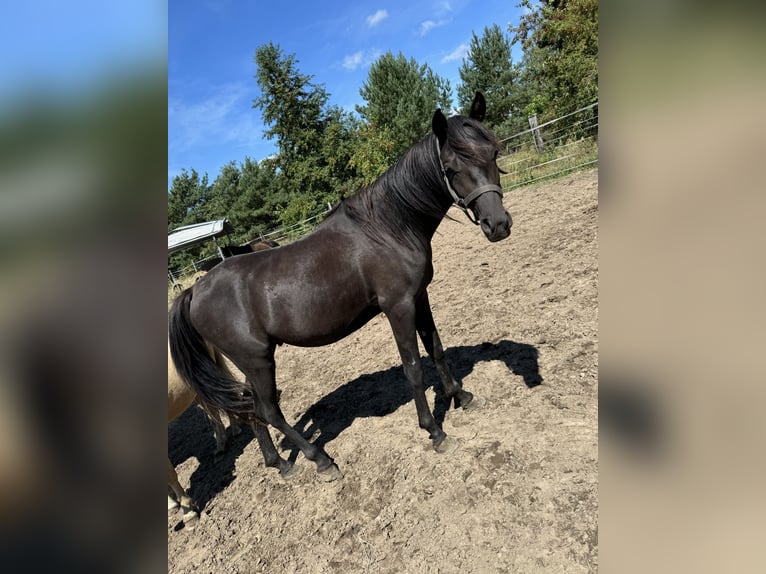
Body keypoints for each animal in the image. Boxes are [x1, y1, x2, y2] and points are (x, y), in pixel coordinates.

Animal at [171, 93, 512, 482]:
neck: (387, 228)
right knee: (268, 410)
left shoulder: (419, 297)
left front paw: (461, 396)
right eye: (453, 166)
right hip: (258, 360)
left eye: (492, 153)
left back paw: (281, 464)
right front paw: (435, 431)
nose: (498, 225)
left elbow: (437, 349)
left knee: (250, 408)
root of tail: (194, 291)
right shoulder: (398, 306)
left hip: (248, 363)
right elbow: (412, 366)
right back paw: (320, 460)